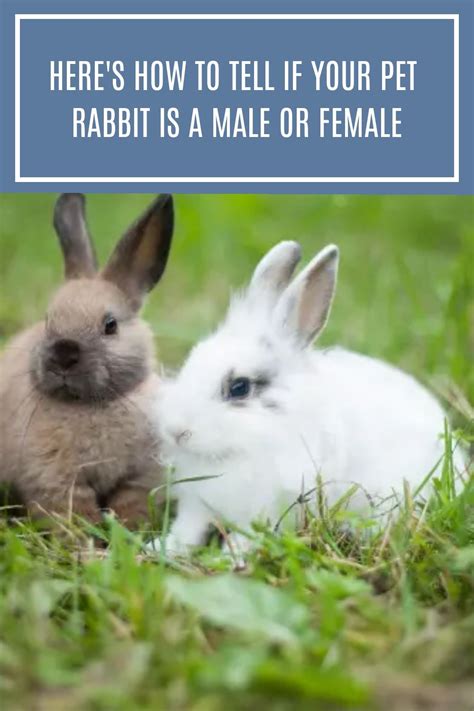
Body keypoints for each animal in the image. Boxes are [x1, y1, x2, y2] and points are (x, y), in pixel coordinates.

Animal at [0, 193, 174, 527]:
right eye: (47, 321)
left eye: (110, 325)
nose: (63, 355)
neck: (92, 405)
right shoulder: (58, 482)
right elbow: (74, 515)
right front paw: (88, 540)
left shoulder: (139, 478)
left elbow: (131, 505)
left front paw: (127, 530)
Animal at [148, 241, 466, 556]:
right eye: (190, 361)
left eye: (239, 387)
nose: (176, 431)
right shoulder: (196, 505)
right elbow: (187, 532)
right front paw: (159, 548)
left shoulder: (269, 509)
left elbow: (246, 537)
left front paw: (231, 558)